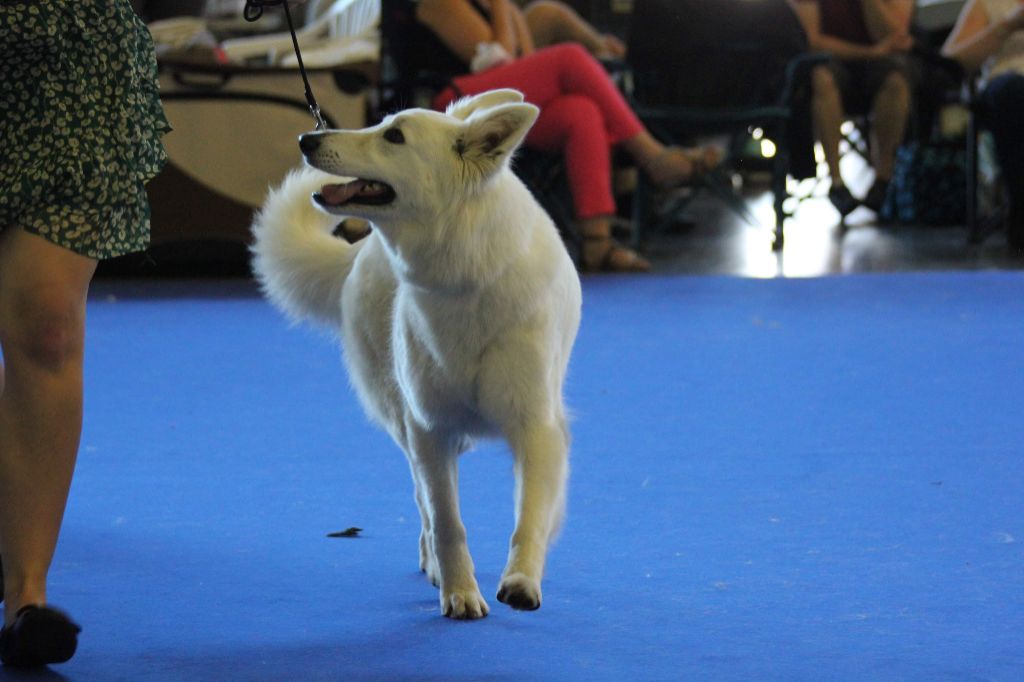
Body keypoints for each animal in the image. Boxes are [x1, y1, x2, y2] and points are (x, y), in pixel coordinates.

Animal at [247, 89, 581, 614]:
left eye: (394, 136)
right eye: (383, 125)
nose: (306, 138)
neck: (465, 279)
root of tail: (359, 253)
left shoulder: (536, 429)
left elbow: (529, 515)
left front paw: (522, 581)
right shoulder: (429, 428)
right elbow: (446, 520)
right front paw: (460, 592)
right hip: (402, 421)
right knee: (423, 501)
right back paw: (434, 567)